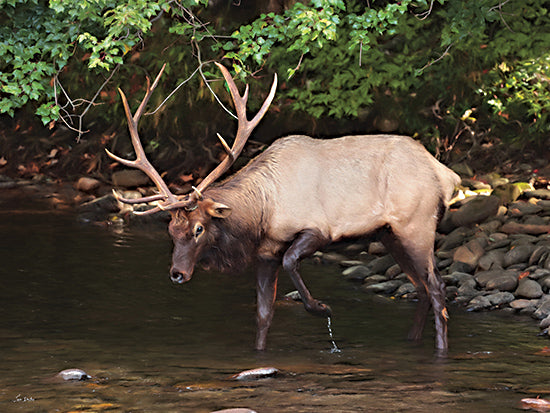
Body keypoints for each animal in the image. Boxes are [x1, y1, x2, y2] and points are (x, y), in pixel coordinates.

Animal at [106, 63, 462, 350]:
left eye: (198, 229)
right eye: (170, 229)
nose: (177, 274)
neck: (263, 214)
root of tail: (446, 174)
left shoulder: (317, 229)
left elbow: (292, 261)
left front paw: (322, 308)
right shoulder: (265, 253)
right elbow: (264, 314)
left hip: (416, 225)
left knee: (436, 287)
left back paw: (441, 350)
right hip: (389, 234)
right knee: (419, 288)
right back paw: (411, 342)